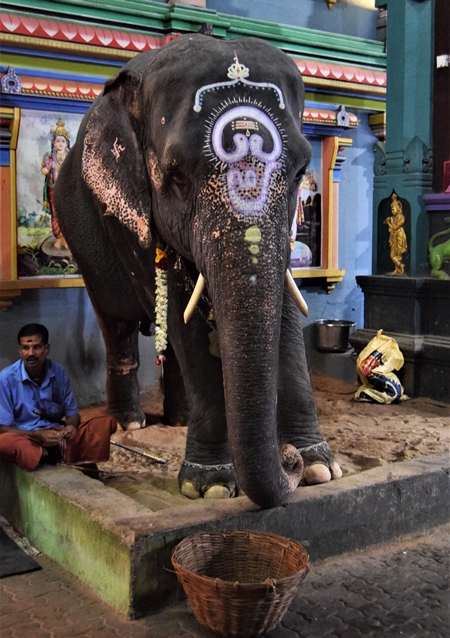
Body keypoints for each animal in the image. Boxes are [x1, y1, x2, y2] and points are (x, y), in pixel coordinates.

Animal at [52, 33, 342, 510]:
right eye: (176, 177)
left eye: (302, 171)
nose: (289, 461)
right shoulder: (130, 214)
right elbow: (181, 314)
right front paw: (210, 487)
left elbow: (282, 308)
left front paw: (320, 468)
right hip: (85, 247)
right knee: (117, 326)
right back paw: (131, 425)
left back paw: (178, 419)